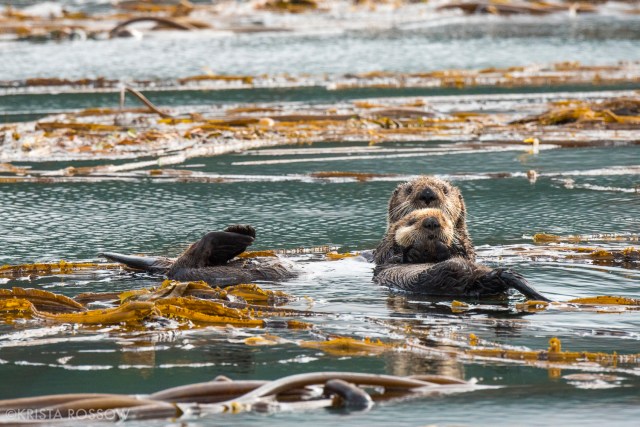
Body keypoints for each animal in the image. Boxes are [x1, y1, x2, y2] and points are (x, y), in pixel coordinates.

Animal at [373, 209, 549, 301]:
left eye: (444, 219)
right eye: (412, 221)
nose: (431, 222)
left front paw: (444, 246)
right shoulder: (385, 255)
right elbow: (393, 256)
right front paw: (414, 251)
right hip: (446, 274)